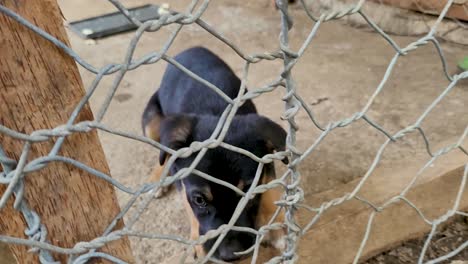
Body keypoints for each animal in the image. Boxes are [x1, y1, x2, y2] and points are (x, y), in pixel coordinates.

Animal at [143, 46, 288, 260]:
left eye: (248, 191)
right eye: (199, 200)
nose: (231, 256)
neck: (219, 116)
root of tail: (192, 48)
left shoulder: (265, 159)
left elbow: (269, 187)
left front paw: (275, 228)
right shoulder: (183, 180)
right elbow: (188, 206)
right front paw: (198, 241)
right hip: (150, 122)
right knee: (162, 152)